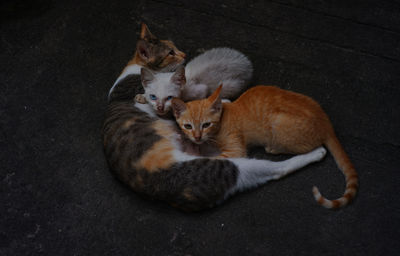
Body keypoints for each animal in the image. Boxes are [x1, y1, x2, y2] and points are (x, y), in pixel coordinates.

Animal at [170, 85, 358, 209]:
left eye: (206, 124)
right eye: (188, 126)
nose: (197, 137)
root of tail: (326, 123)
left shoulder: (235, 150)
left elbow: (208, 158)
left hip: (279, 124)